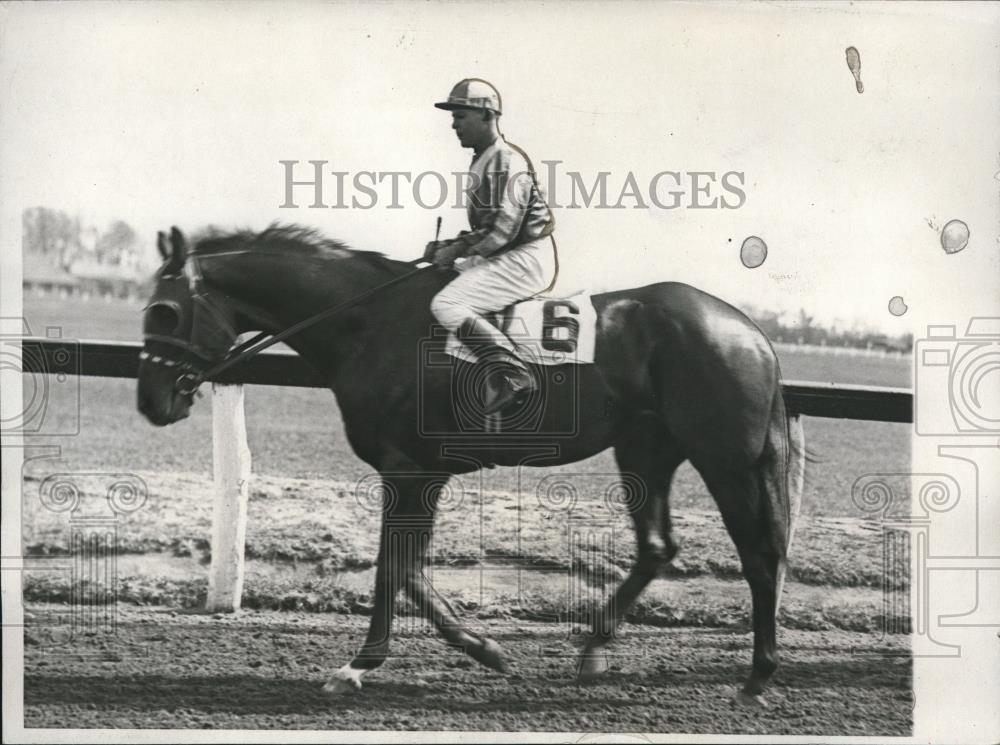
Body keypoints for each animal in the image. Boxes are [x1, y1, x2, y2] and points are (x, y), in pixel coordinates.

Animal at [135, 222, 804, 704]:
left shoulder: (410, 471)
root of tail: (751, 332)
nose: (150, 402)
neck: (369, 324)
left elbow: (396, 569)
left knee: (759, 554)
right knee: (659, 547)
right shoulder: (416, 475)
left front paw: (366, 665)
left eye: (165, 311)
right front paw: (474, 648)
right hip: (646, 450)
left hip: (725, 457)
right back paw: (594, 651)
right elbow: (405, 568)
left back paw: (758, 675)